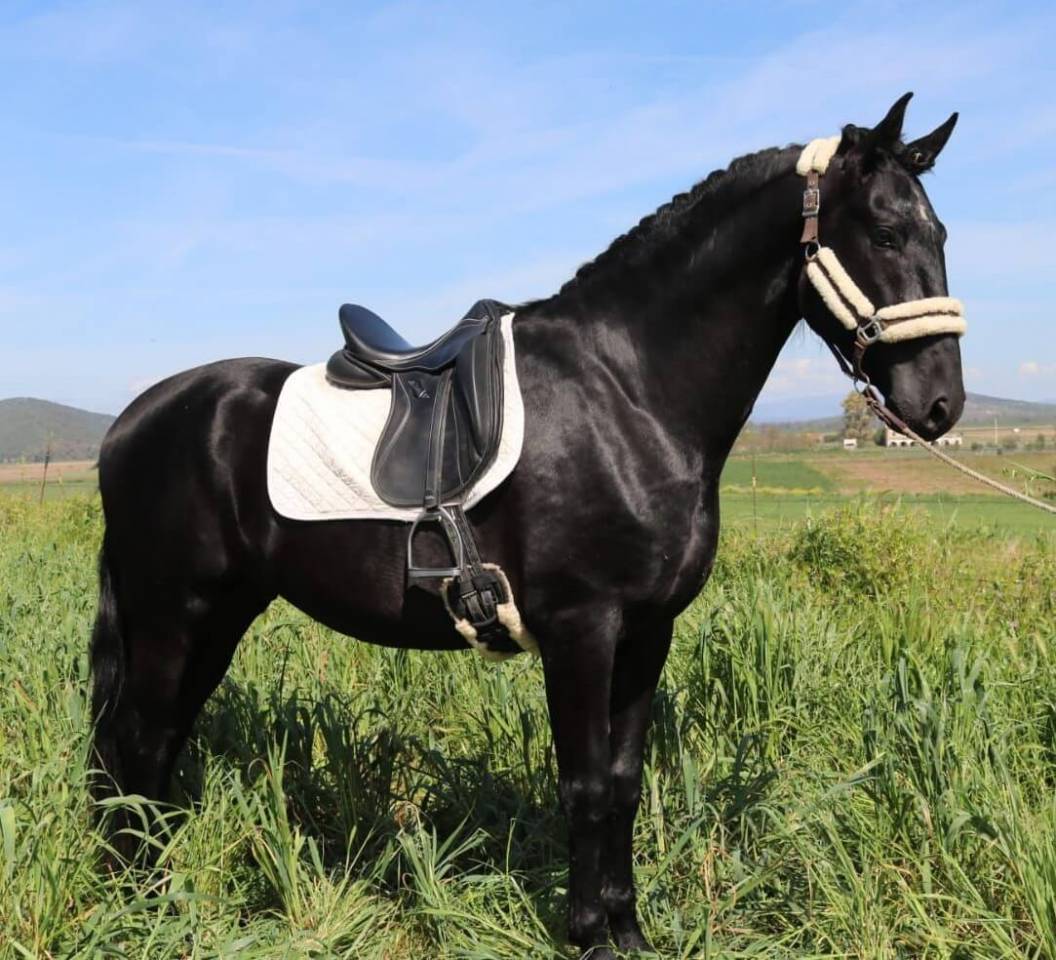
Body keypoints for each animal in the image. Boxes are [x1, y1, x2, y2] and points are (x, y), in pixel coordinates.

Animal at [90, 94, 965, 958]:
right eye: (885, 232)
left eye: (941, 234)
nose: (939, 406)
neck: (628, 392)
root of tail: (132, 420)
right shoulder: (582, 627)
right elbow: (584, 785)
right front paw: (588, 937)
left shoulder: (647, 631)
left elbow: (623, 783)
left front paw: (628, 931)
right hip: (174, 612)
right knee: (139, 738)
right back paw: (145, 904)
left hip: (220, 614)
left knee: (160, 741)